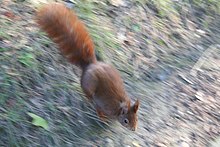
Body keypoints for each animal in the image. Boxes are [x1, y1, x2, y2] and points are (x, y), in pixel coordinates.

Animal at [36, 2, 139, 131]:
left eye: (137, 119)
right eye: (126, 121)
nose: (134, 129)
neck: (119, 107)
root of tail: (91, 64)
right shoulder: (102, 104)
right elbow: (99, 110)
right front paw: (103, 118)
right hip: (89, 85)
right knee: (88, 95)